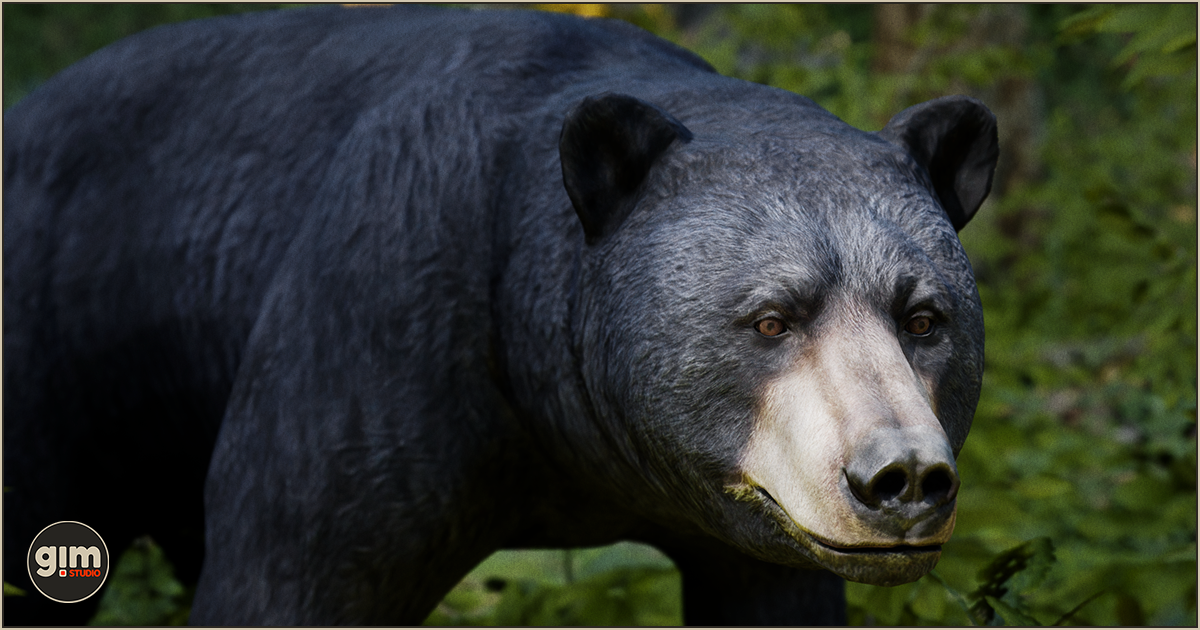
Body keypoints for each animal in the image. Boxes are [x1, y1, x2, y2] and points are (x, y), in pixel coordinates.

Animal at [2, 5, 998, 626]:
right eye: (771, 319)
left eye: (923, 318)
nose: (900, 477)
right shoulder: (379, 336)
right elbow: (293, 574)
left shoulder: (749, 523)